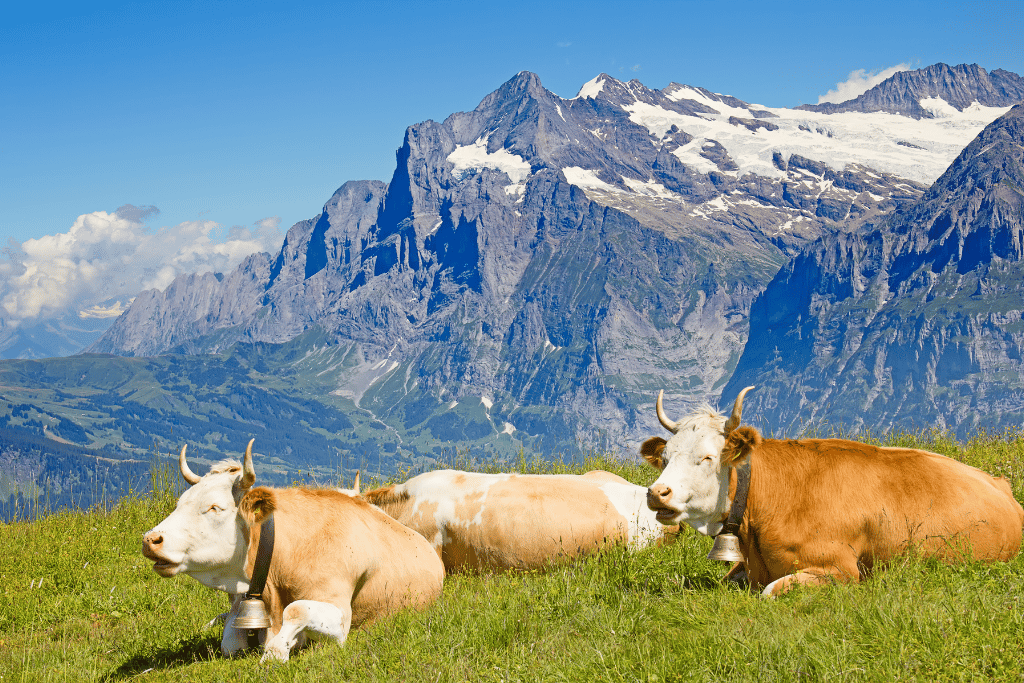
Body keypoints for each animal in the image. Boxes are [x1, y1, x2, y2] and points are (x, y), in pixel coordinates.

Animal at [141, 441, 444, 661]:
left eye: (215, 507)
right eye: (180, 502)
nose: (150, 539)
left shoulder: (340, 616)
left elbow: (296, 611)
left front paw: (278, 650)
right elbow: (229, 641)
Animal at [641, 386, 1024, 596]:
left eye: (707, 457)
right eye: (665, 457)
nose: (657, 493)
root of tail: (1000, 484)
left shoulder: (841, 570)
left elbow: (771, 591)